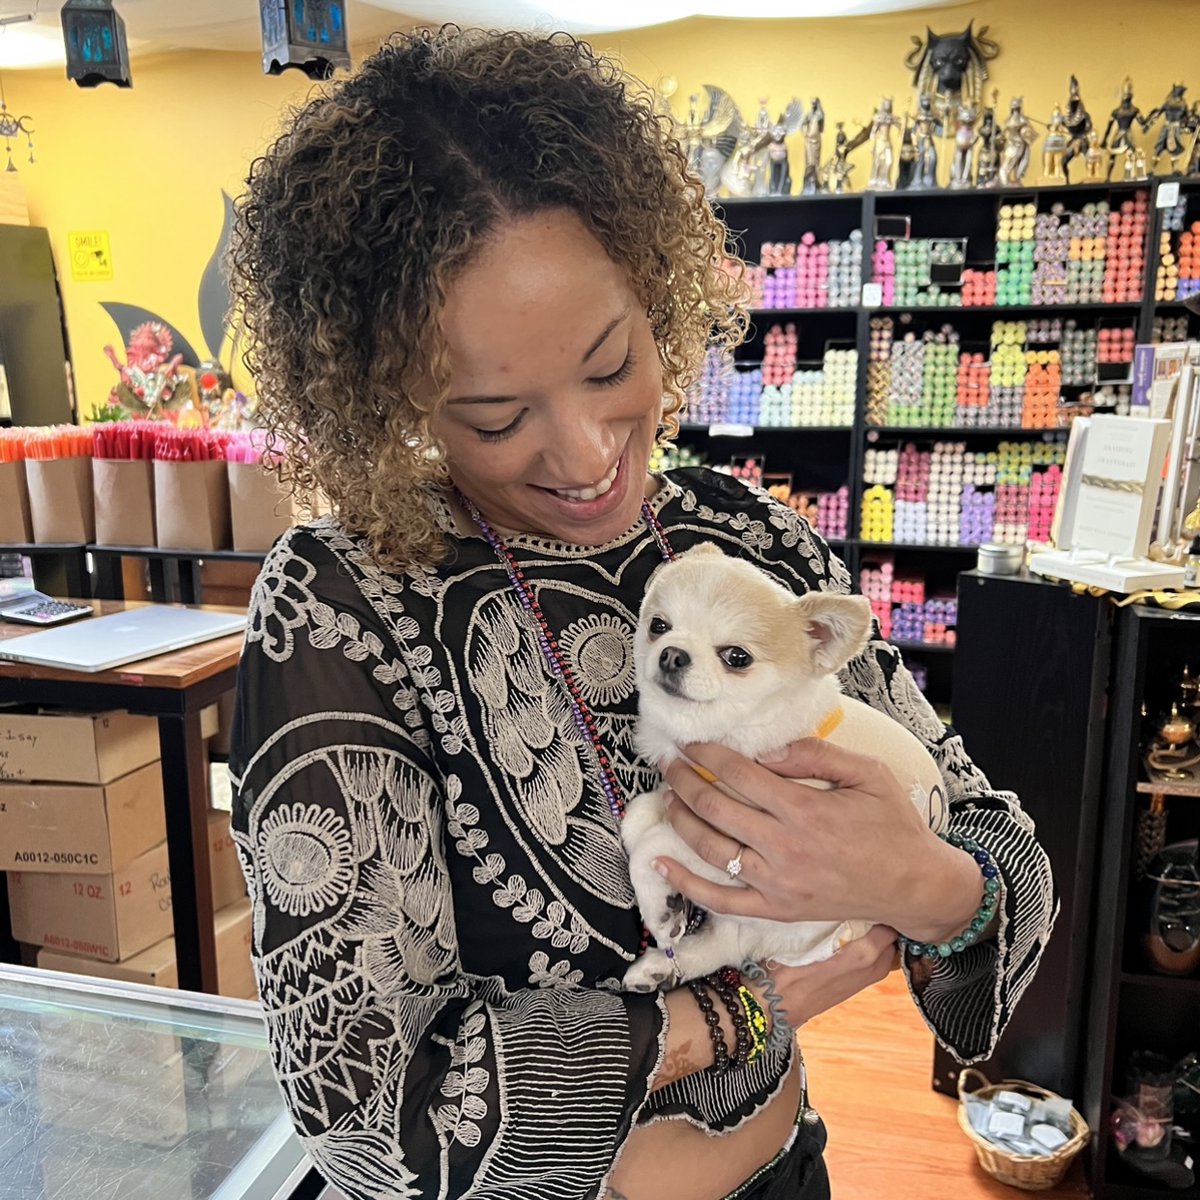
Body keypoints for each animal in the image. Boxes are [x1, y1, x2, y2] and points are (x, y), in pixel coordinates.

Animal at [619, 547, 945, 993]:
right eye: (658, 626)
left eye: (737, 657)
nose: (671, 653)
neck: (732, 734)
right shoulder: (680, 793)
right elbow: (638, 819)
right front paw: (664, 904)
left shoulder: (742, 850)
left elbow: (653, 844)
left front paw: (657, 906)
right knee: (726, 945)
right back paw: (659, 968)